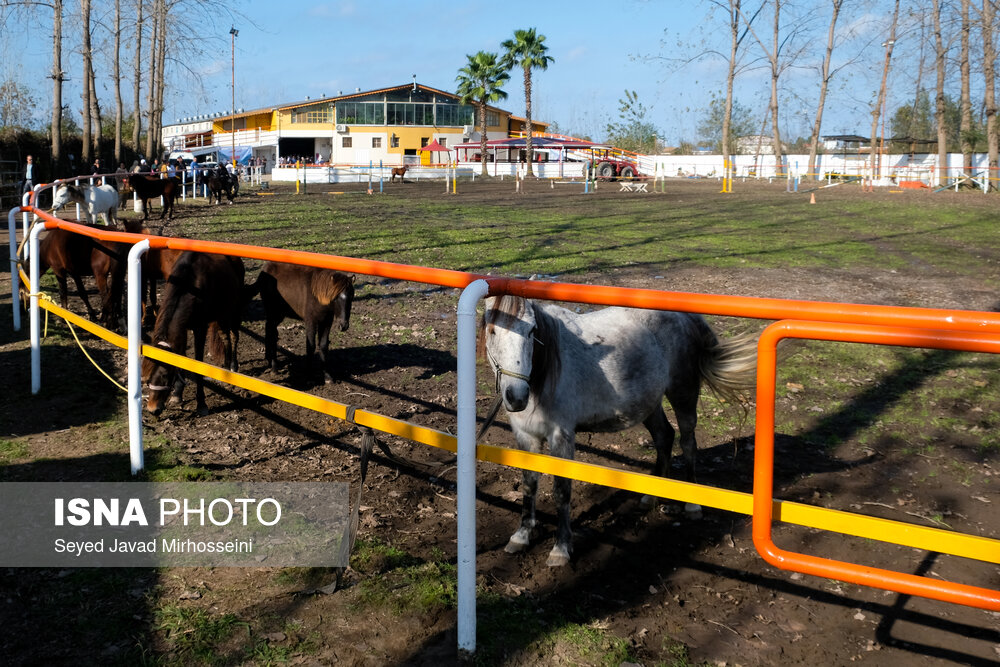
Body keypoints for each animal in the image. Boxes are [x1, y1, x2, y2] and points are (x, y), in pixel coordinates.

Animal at [142, 253, 245, 414]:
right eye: (147, 376)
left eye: (165, 375)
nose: (153, 409)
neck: (190, 285)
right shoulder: (183, 329)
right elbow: (181, 360)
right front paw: (177, 395)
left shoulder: (200, 329)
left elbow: (197, 366)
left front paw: (201, 403)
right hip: (221, 314)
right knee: (225, 337)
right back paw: (226, 368)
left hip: (233, 311)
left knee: (234, 336)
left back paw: (233, 367)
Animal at [480, 294, 752, 568]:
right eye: (492, 330)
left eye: (532, 331)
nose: (517, 397)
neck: (542, 376)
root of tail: (686, 315)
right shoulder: (526, 436)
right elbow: (529, 485)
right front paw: (521, 536)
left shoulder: (561, 437)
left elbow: (561, 491)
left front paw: (561, 549)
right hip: (648, 404)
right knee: (664, 437)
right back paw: (651, 498)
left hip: (683, 394)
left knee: (687, 442)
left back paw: (692, 505)